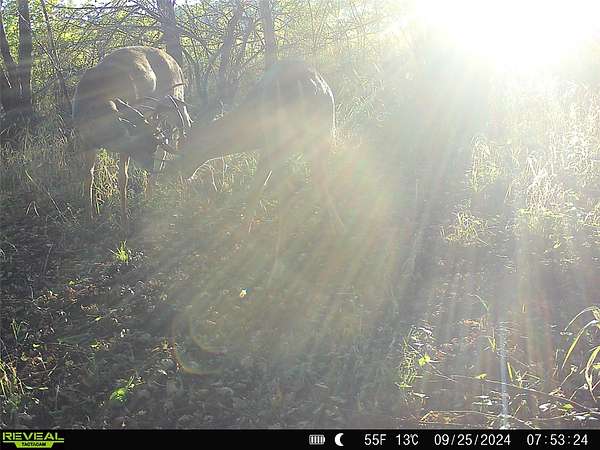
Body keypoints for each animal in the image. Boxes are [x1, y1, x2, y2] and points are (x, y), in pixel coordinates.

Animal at [72, 46, 191, 224]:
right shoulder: (85, 140)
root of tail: (175, 62)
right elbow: (88, 176)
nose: (149, 165)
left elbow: (123, 178)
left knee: (183, 131)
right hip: (158, 111)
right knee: (167, 139)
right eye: (145, 148)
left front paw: (124, 219)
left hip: (175, 98)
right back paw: (149, 196)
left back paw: (183, 185)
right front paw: (90, 216)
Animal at [158, 60, 345, 282]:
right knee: (320, 180)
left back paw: (276, 264)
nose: (182, 174)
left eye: (188, 152)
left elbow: (256, 189)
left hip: (282, 138)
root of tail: (309, 88)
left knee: (286, 193)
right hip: (324, 132)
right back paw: (335, 230)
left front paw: (242, 236)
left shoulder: (267, 147)